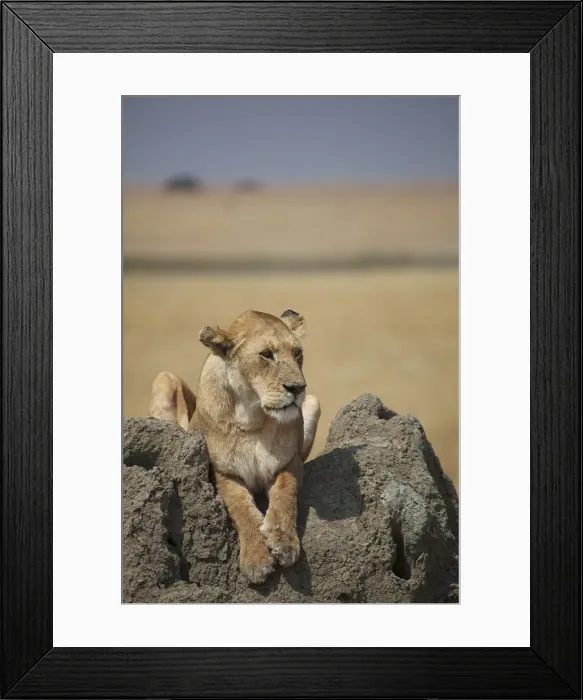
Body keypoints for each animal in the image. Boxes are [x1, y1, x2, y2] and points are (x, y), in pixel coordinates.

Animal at [149, 309, 321, 584]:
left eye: (297, 353)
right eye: (266, 354)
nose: (297, 388)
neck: (252, 416)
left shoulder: (289, 462)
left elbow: (286, 492)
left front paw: (283, 542)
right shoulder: (222, 471)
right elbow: (240, 507)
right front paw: (257, 559)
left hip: (314, 402)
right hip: (165, 377)